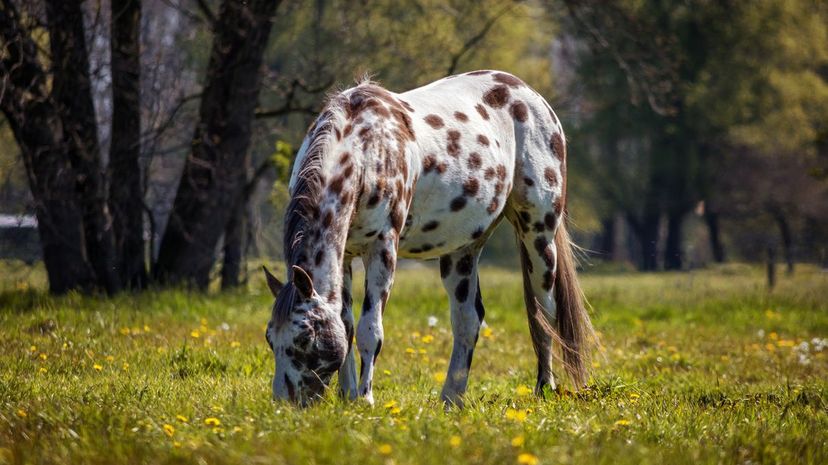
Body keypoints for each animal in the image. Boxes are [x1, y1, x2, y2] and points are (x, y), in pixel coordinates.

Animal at [266, 69, 596, 406]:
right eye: (270, 338)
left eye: (305, 337)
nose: (284, 403)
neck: (366, 148)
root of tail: (531, 96)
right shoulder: (344, 254)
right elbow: (345, 326)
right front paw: (347, 397)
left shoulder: (382, 249)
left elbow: (370, 330)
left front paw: (365, 400)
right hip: (462, 251)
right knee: (467, 321)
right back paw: (451, 399)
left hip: (538, 235)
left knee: (544, 314)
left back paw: (545, 388)